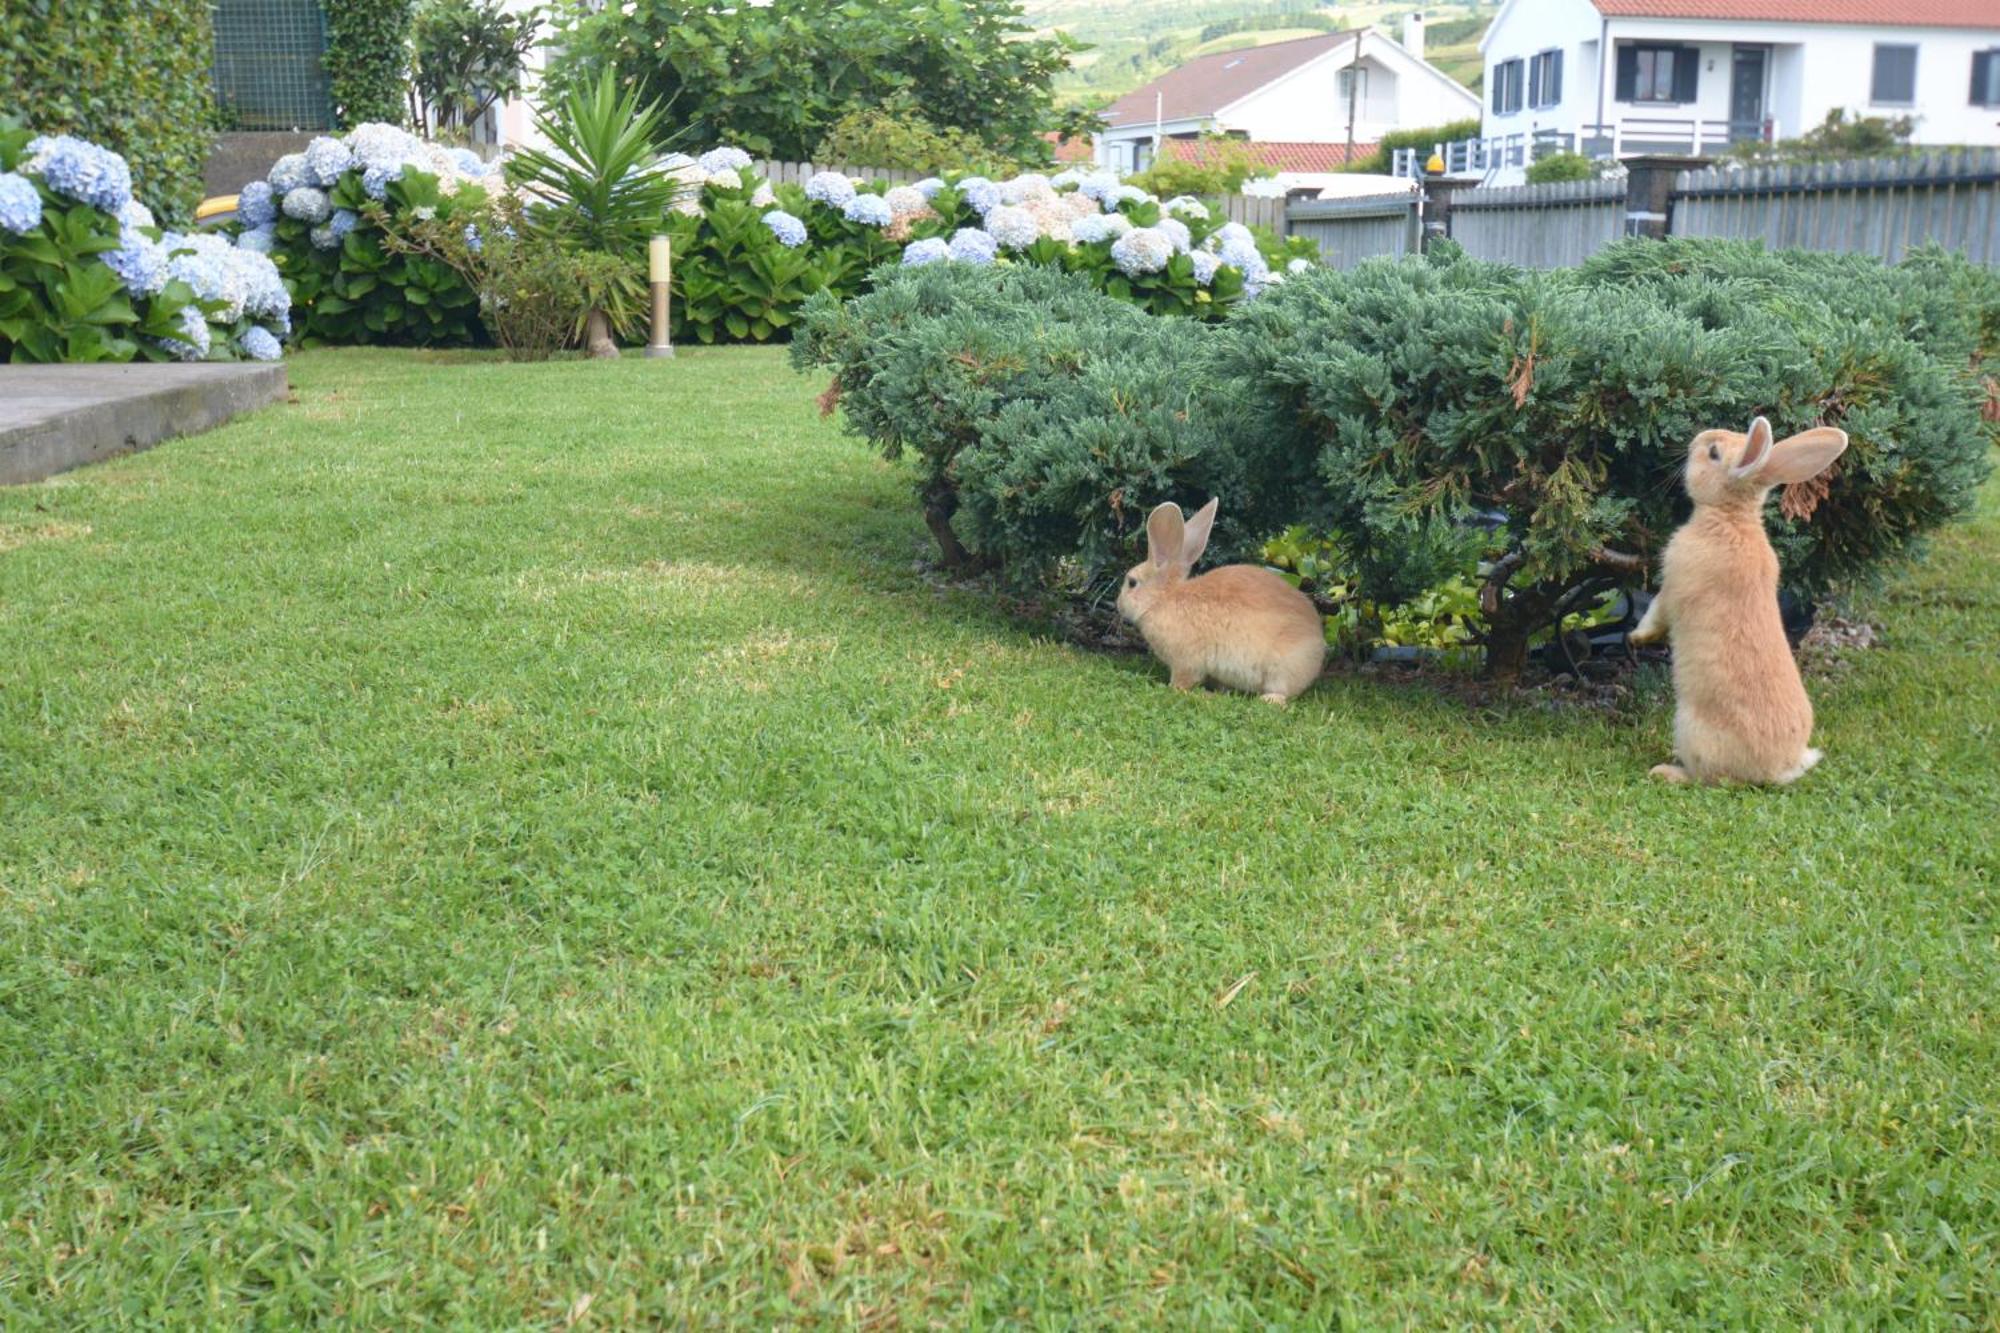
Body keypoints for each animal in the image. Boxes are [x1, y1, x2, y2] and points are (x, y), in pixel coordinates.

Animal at [1120, 498, 1320, 704]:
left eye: (1132, 583)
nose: (1119, 604)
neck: (1163, 598)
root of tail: (1318, 644)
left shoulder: (1185, 662)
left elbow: (1181, 683)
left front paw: (1181, 690)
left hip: (1280, 670)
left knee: (1281, 695)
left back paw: (1265, 699)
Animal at [1632, 416, 1848, 784]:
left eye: (1714, 453)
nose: (1697, 439)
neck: (1730, 516)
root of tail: (1776, 769)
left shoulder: (1673, 584)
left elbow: (1656, 611)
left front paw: (1637, 637)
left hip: (1691, 729)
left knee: (1713, 779)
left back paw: (1666, 772)